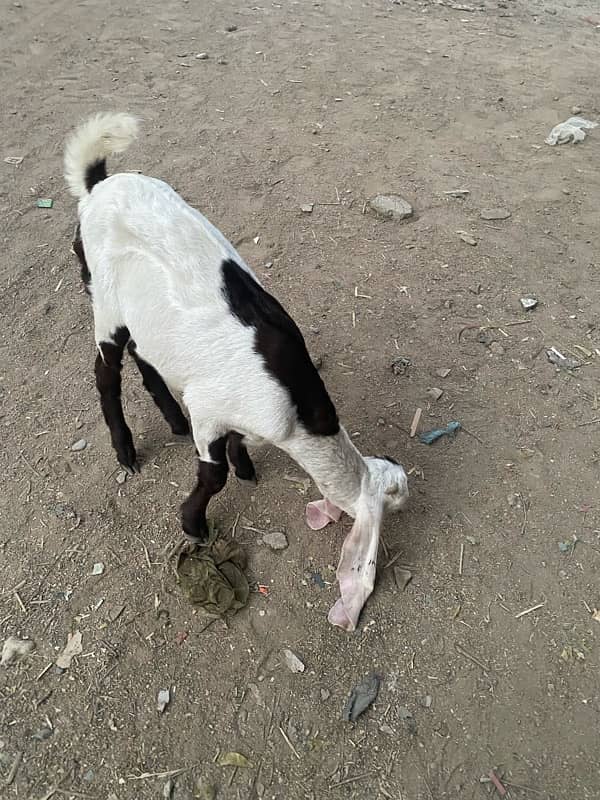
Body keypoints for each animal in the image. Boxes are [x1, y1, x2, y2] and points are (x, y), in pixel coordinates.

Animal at [63, 112, 410, 632]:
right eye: (394, 498)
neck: (298, 416)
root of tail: (98, 185)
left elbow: (237, 444)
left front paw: (245, 465)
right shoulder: (209, 409)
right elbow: (213, 476)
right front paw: (193, 522)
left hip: (144, 315)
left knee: (146, 356)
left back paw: (171, 419)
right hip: (105, 303)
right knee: (107, 374)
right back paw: (125, 450)